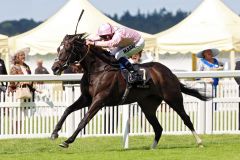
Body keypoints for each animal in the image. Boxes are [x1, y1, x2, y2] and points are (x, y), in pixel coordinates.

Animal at [51, 33, 209, 149]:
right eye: (58, 49)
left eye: (67, 49)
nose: (54, 68)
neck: (98, 69)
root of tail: (169, 72)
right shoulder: (86, 98)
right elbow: (67, 110)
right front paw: (54, 133)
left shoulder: (99, 100)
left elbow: (84, 120)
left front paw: (67, 141)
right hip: (148, 106)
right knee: (158, 127)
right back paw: (152, 148)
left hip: (173, 98)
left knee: (186, 119)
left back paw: (200, 142)